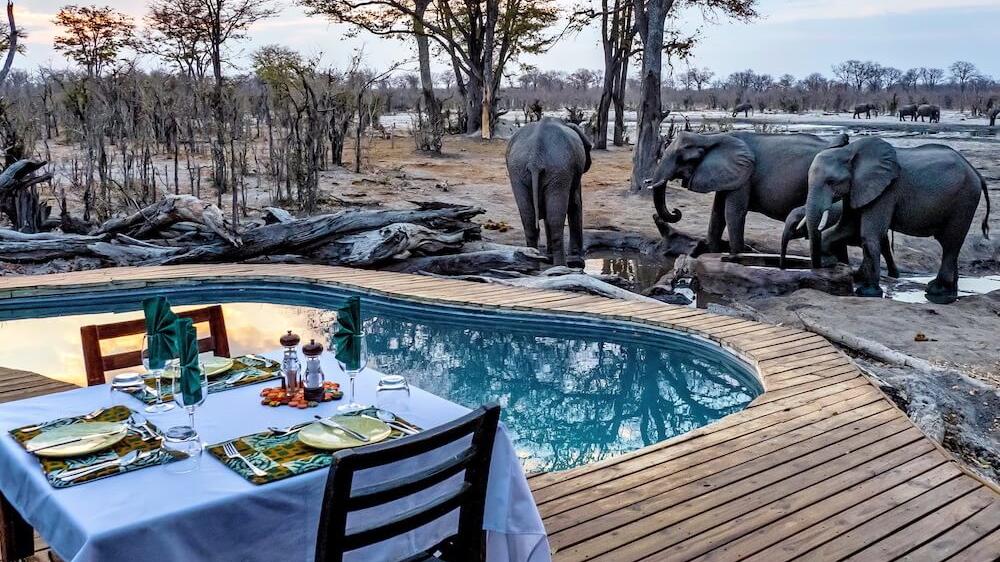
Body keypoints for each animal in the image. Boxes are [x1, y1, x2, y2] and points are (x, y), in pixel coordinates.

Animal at [506, 117, 592, 267]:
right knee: (555, 219)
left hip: (517, 171)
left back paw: (532, 264)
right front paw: (577, 262)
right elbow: (575, 203)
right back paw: (561, 266)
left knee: (528, 218)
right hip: (558, 170)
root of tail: (535, 160)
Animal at [645, 131, 849, 254]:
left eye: (683, 158)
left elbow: (732, 213)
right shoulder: (729, 175)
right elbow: (717, 213)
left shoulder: (745, 176)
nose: (676, 211)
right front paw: (712, 252)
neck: (711, 137)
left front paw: (735, 257)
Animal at [805, 137, 991, 301]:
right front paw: (833, 262)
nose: (818, 269)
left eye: (831, 181)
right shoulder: (857, 189)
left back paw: (936, 290)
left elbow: (869, 234)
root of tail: (976, 172)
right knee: (950, 244)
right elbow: (847, 228)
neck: (849, 151)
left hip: (965, 200)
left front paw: (867, 291)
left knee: (951, 243)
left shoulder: (886, 191)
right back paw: (951, 290)